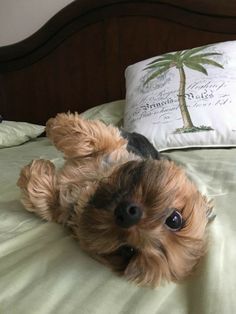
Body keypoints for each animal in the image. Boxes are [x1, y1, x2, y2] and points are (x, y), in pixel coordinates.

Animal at [17, 113, 214, 288]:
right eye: (174, 220)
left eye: (128, 251)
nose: (129, 216)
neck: (91, 188)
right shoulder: (112, 148)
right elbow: (91, 137)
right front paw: (54, 126)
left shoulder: (67, 209)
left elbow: (44, 201)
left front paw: (35, 170)